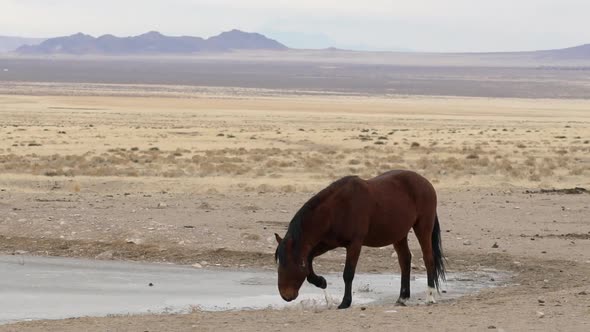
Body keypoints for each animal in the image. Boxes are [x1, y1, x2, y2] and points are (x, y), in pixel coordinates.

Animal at [276, 170, 446, 310]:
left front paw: (345, 302)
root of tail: (426, 183)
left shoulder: (354, 244)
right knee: (405, 260)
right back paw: (402, 298)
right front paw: (321, 281)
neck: (335, 210)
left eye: (289, 264)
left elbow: (348, 273)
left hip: (423, 227)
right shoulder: (326, 243)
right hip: (399, 234)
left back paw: (430, 296)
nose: (286, 295)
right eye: (279, 264)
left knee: (428, 259)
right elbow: (309, 262)